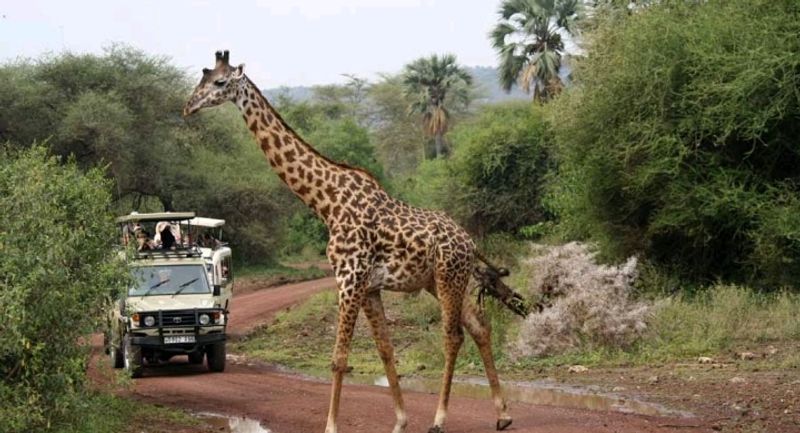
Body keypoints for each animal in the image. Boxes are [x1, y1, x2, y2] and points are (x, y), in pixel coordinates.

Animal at [184, 49, 512, 432]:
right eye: (202, 77)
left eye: (219, 82)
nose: (188, 106)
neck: (326, 202)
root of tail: (471, 244)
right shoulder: (368, 286)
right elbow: (385, 349)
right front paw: (400, 420)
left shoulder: (349, 279)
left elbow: (339, 358)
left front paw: (331, 426)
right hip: (437, 280)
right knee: (479, 325)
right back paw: (503, 414)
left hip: (448, 277)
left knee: (453, 335)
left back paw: (440, 419)